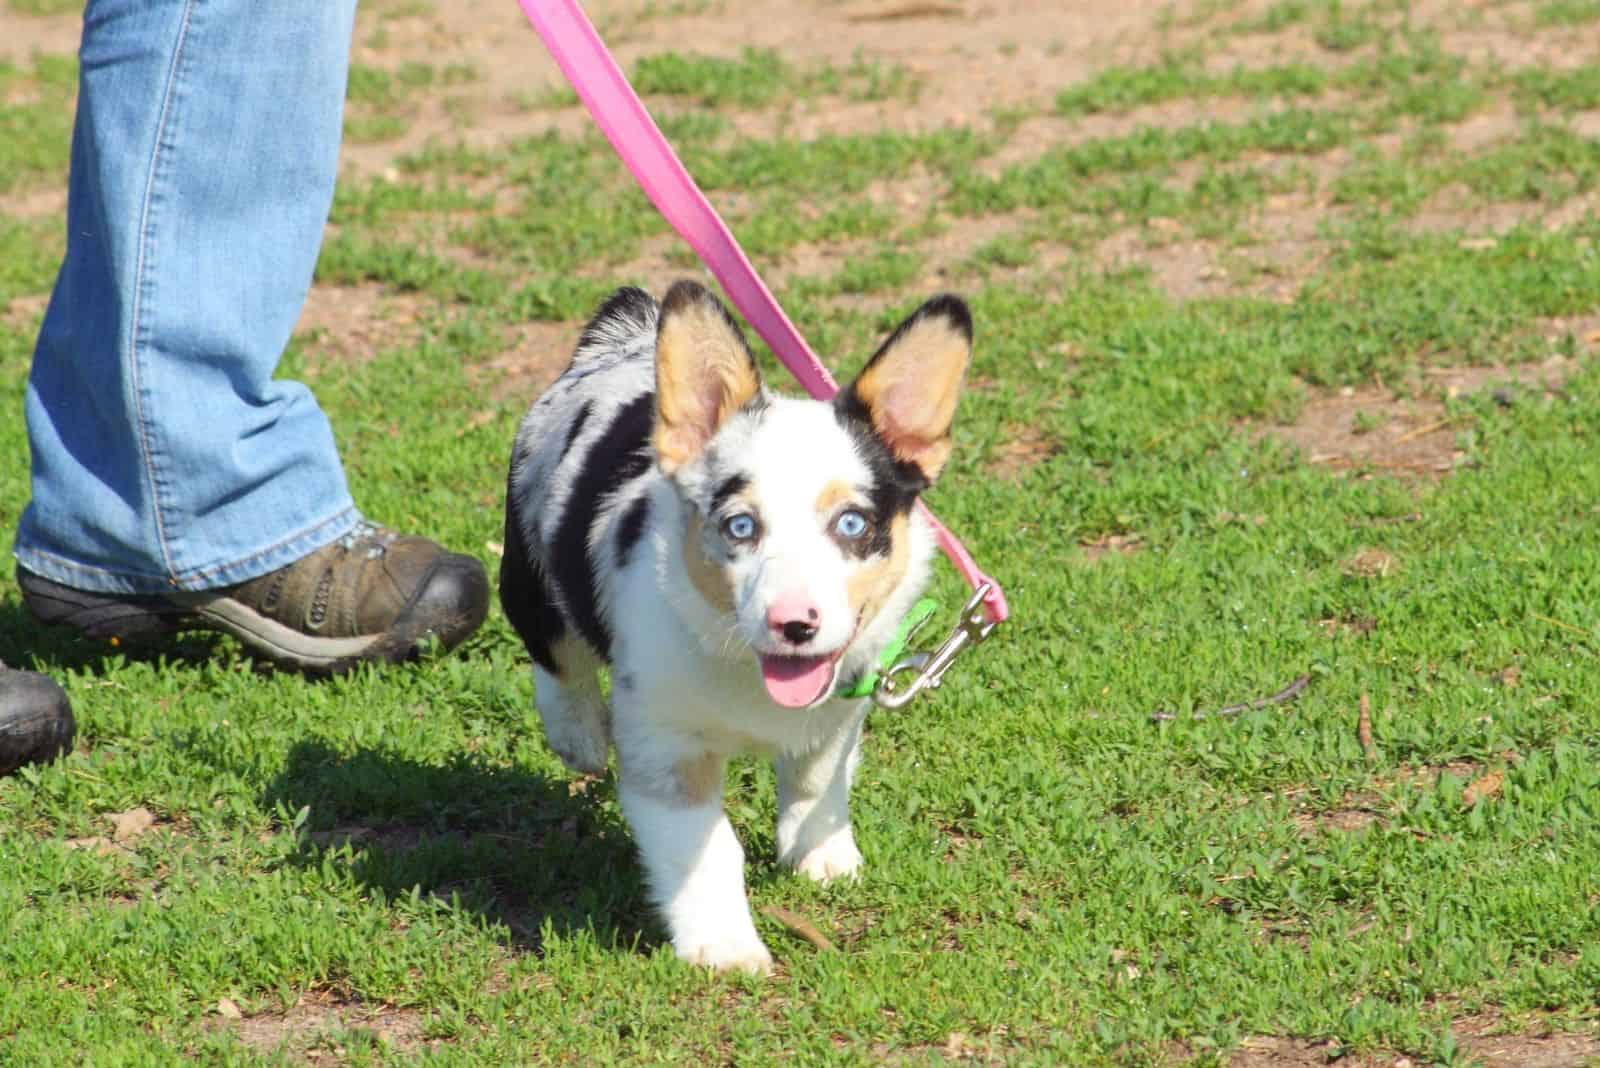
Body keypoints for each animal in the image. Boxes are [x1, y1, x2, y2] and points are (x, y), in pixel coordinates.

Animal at [502, 279, 972, 972]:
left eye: (852, 524)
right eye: (740, 526)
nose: (794, 624)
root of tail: (622, 333)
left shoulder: (838, 711)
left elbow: (815, 783)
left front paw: (823, 858)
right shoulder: (667, 749)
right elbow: (706, 848)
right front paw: (723, 947)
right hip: (527, 573)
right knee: (555, 652)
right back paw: (576, 734)